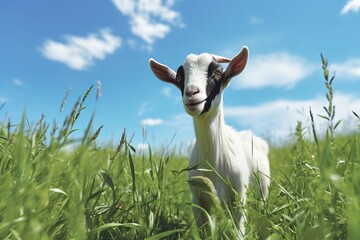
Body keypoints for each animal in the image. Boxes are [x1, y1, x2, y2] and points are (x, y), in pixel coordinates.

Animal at [148, 46, 268, 236]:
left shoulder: (238, 197)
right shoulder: (198, 200)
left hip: (263, 189)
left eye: (218, 73)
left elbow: (238, 230)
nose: (191, 93)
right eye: (180, 77)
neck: (214, 161)